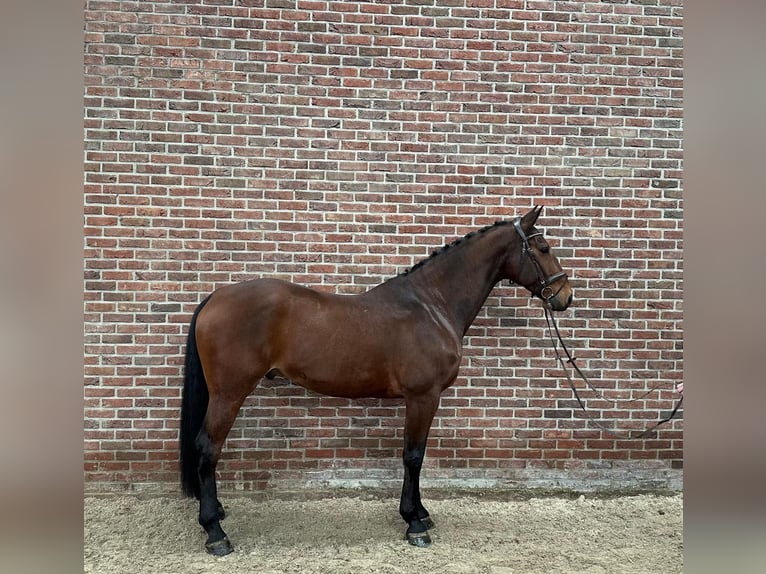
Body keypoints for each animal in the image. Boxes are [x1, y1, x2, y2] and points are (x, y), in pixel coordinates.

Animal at [179, 205, 573, 555]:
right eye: (543, 248)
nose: (565, 297)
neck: (432, 305)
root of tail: (215, 297)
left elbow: (417, 454)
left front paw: (422, 514)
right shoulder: (423, 396)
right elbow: (413, 455)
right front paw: (414, 523)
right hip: (229, 394)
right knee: (208, 448)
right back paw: (215, 533)